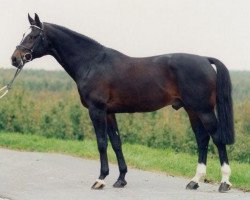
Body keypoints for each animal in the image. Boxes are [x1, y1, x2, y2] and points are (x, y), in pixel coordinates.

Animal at [11, 14, 234, 192]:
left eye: (33, 36)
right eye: (24, 34)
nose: (15, 59)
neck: (92, 62)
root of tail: (205, 60)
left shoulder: (97, 111)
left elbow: (102, 143)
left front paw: (100, 179)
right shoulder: (109, 113)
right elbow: (116, 143)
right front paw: (121, 179)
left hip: (203, 110)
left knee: (217, 138)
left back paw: (224, 182)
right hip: (192, 110)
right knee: (202, 139)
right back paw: (194, 181)